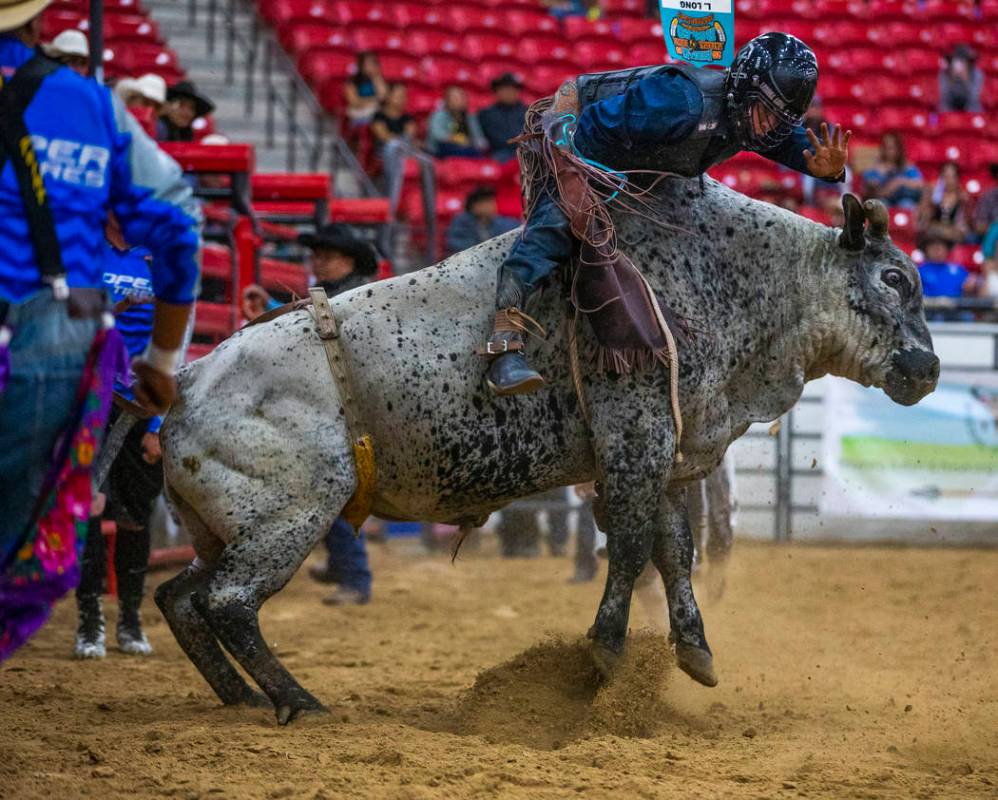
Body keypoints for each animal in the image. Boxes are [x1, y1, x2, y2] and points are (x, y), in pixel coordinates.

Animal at [154, 183, 936, 724]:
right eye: (895, 278)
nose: (928, 368)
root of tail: (189, 381)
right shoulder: (635, 438)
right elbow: (631, 547)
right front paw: (605, 652)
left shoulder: (666, 452)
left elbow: (673, 550)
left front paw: (695, 652)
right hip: (291, 513)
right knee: (228, 602)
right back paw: (298, 700)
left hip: (222, 526)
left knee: (180, 597)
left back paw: (240, 697)